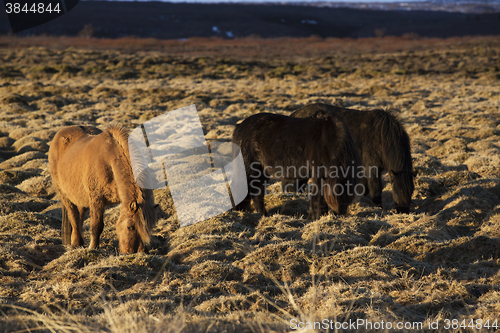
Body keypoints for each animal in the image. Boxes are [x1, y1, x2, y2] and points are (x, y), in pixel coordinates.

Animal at [49, 124, 155, 252]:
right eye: (129, 227)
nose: (130, 252)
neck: (109, 161)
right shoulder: (97, 199)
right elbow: (97, 226)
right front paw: (93, 248)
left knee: (80, 216)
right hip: (65, 195)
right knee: (73, 217)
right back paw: (75, 243)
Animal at [232, 111, 362, 218]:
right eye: (339, 188)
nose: (341, 212)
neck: (329, 141)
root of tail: (239, 127)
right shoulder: (318, 174)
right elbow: (317, 198)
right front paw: (315, 218)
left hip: (261, 171)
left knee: (257, 193)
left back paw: (262, 214)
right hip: (249, 169)